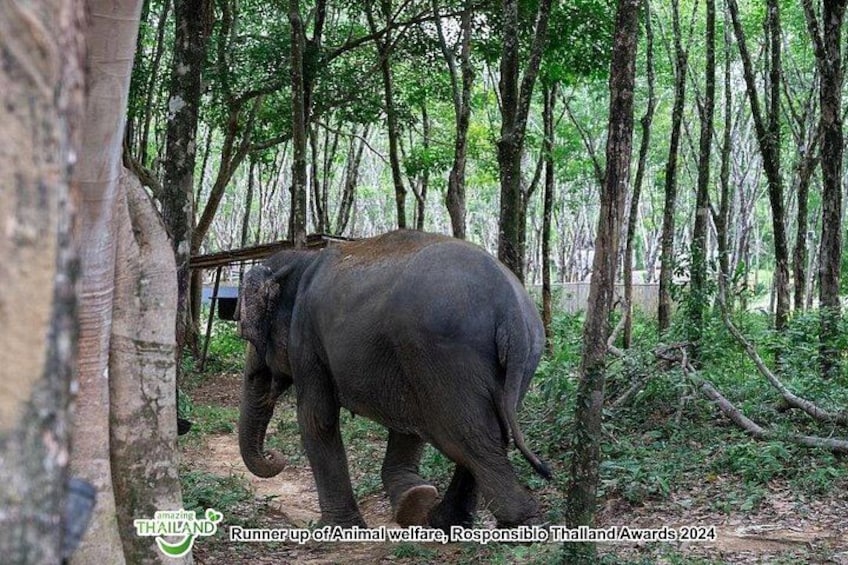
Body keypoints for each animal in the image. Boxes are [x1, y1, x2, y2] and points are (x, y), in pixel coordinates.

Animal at [235, 229, 551, 530]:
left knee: (468, 436)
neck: (302, 260)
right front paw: (414, 499)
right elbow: (409, 421)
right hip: (516, 359)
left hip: (445, 351)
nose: (274, 456)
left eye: (246, 334)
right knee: (491, 431)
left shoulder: (306, 340)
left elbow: (317, 419)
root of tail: (511, 309)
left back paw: (518, 522)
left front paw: (335, 529)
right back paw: (446, 520)